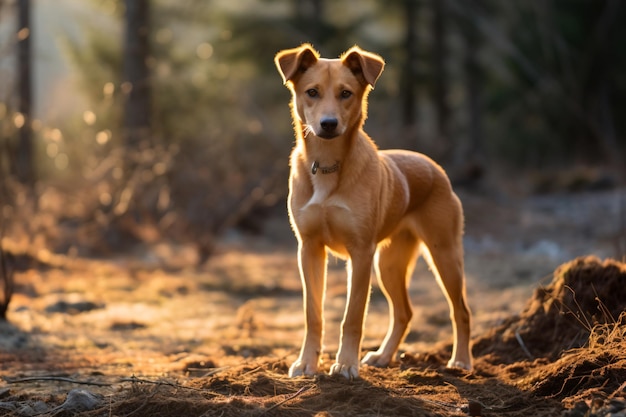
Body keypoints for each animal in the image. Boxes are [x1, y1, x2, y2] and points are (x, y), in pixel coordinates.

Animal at [274, 44, 472, 378]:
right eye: (312, 92)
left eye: (346, 93)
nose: (328, 124)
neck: (327, 166)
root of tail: (434, 166)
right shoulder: (309, 249)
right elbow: (313, 313)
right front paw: (307, 362)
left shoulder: (361, 253)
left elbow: (353, 316)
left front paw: (345, 364)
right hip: (389, 264)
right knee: (405, 312)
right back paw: (383, 356)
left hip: (443, 254)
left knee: (461, 310)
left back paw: (461, 361)